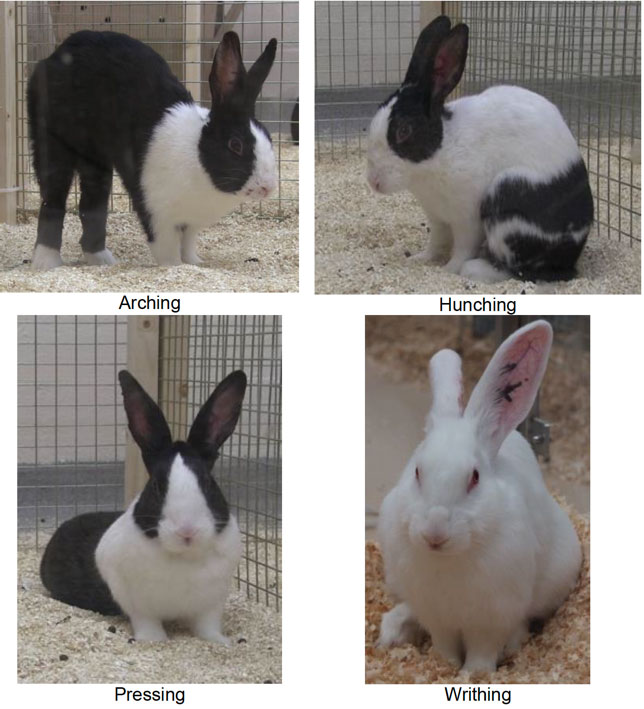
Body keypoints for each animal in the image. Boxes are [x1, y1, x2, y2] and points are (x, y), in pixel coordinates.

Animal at [27, 30, 278, 270]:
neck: (197, 158)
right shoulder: (158, 215)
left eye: (268, 136)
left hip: (96, 161)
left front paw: (195, 263)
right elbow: (167, 249)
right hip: (52, 145)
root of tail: (56, 55)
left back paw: (102, 260)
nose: (267, 187)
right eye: (236, 145)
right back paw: (47, 262)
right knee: (53, 201)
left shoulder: (190, 223)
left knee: (91, 203)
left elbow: (187, 245)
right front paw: (175, 267)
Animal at [40, 369, 246, 643]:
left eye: (208, 483)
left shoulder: (212, 605)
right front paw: (154, 641)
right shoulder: (137, 604)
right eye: (157, 486)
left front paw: (222, 642)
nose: (187, 531)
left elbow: (207, 627)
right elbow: (148, 624)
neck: (184, 557)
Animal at [366, 16, 594, 283]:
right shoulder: (436, 217)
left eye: (404, 131)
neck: (442, 150)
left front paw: (449, 271)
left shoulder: (467, 219)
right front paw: (421, 259)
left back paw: (476, 270)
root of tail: (571, 255)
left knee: (519, 269)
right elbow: (436, 242)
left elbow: (463, 249)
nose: (373, 182)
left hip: (507, 198)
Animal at [376, 320, 582, 672]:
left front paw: (472, 674)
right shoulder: (438, 617)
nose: (434, 534)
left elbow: (483, 650)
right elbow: (444, 646)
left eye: (474, 477)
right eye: (417, 471)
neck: (449, 559)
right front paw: (444, 667)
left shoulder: (492, 619)